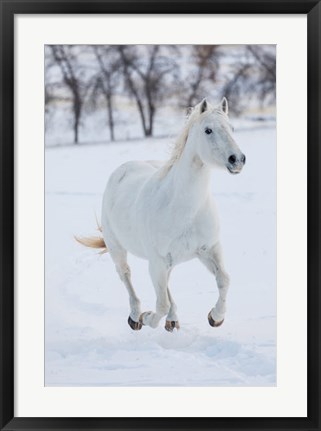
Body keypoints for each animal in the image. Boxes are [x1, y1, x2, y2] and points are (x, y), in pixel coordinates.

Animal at [77, 99, 245, 332]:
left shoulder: (209, 250)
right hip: (118, 249)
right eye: (208, 130)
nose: (237, 159)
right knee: (126, 275)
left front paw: (215, 317)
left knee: (166, 288)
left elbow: (224, 280)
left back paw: (172, 320)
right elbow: (161, 304)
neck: (185, 209)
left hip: (166, 262)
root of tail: (123, 169)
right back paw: (136, 316)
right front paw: (147, 318)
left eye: (232, 128)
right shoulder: (157, 261)